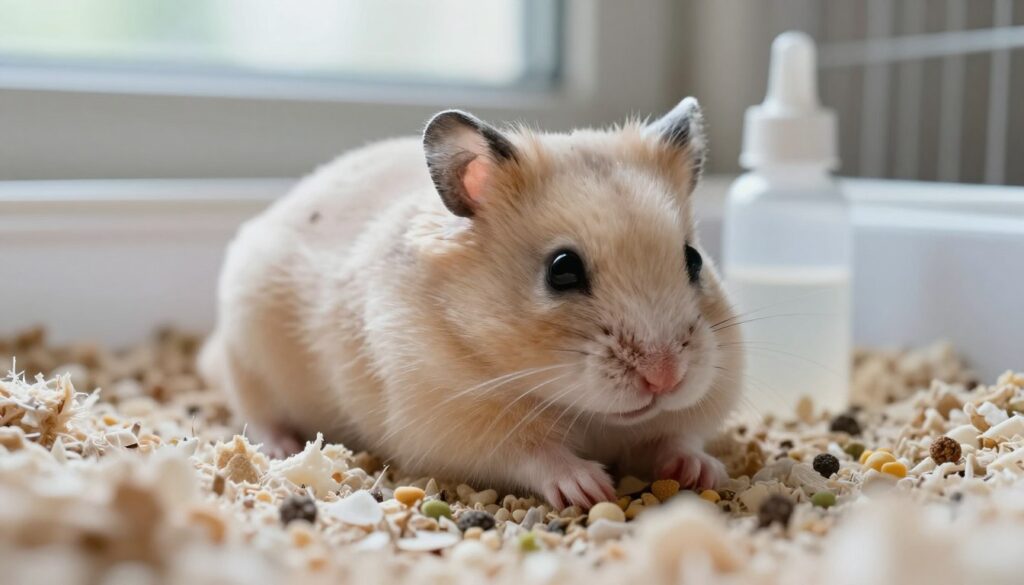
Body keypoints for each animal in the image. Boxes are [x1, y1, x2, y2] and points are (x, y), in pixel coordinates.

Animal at [199, 97, 743, 509]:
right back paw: (280, 446)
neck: (587, 414)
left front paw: (703, 472)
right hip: (250, 354)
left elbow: (674, 438)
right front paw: (589, 488)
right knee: (255, 409)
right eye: (562, 270)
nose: (665, 377)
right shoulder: (457, 424)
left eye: (694, 259)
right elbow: (535, 454)